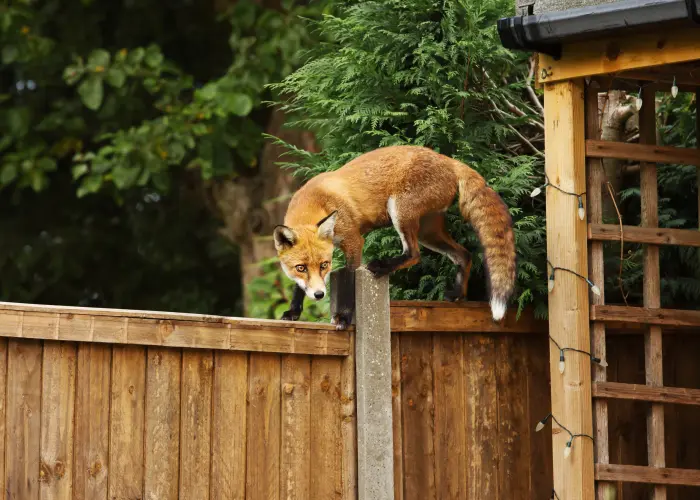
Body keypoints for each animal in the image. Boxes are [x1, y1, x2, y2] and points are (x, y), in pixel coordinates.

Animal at [273, 145, 516, 330]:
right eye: (301, 268)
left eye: (325, 265)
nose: (319, 294)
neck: (316, 201)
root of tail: (448, 159)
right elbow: (298, 287)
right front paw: (293, 312)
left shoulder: (354, 242)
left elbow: (351, 282)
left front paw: (345, 317)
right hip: (429, 232)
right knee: (463, 255)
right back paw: (458, 293)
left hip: (400, 212)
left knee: (414, 254)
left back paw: (382, 266)